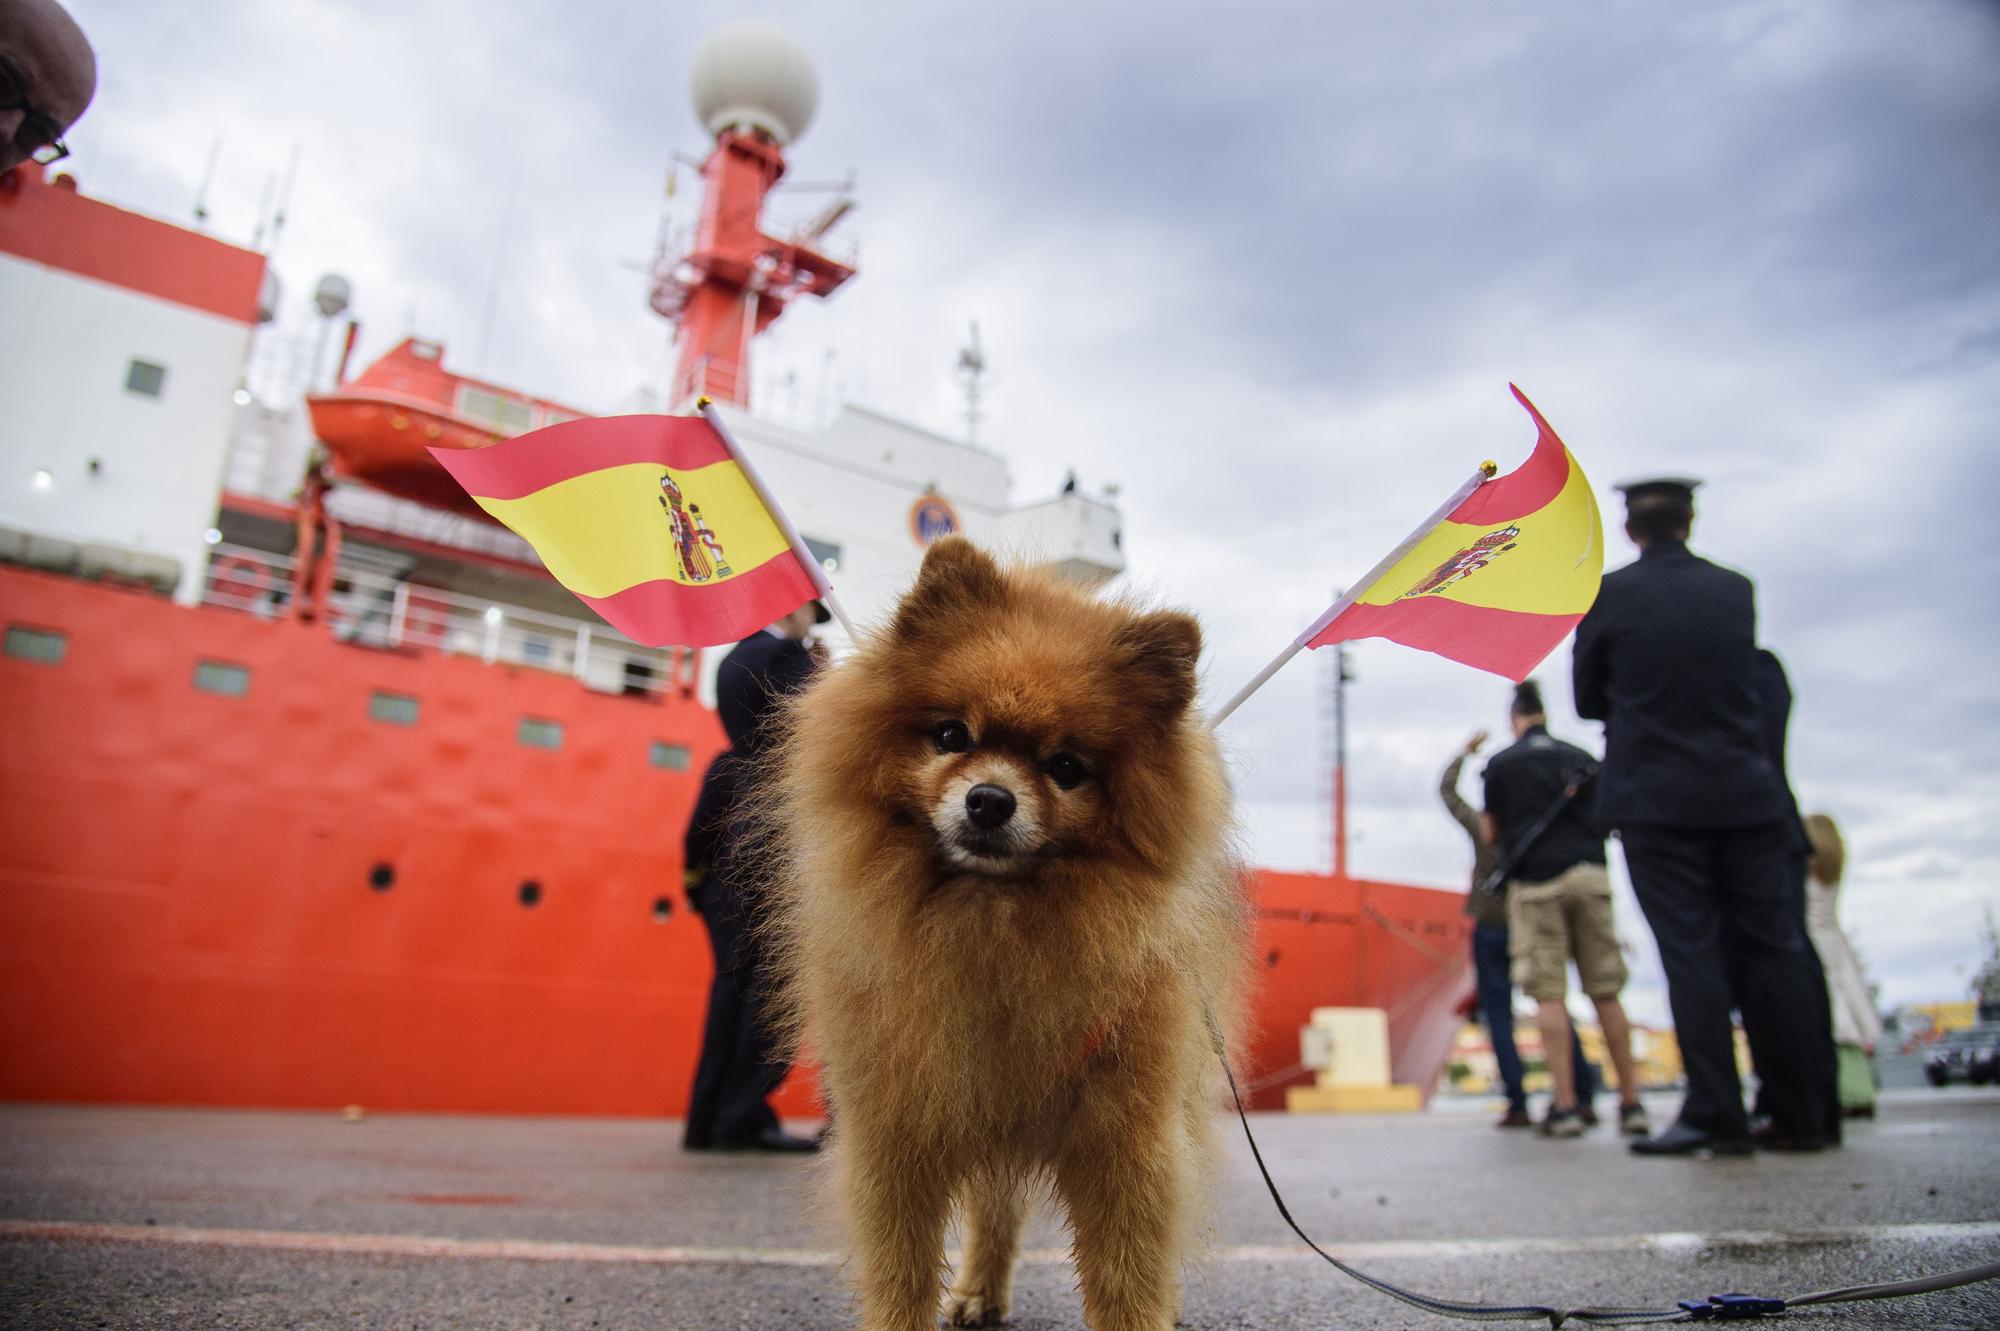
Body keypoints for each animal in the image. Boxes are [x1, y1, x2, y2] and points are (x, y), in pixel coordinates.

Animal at [756, 535, 1240, 1327]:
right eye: (952, 735)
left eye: (1066, 767)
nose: (989, 799)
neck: (991, 926)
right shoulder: (897, 1125)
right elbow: (901, 1265)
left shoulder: (1127, 1135)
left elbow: (1127, 1267)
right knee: (995, 1208)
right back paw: (978, 1291)